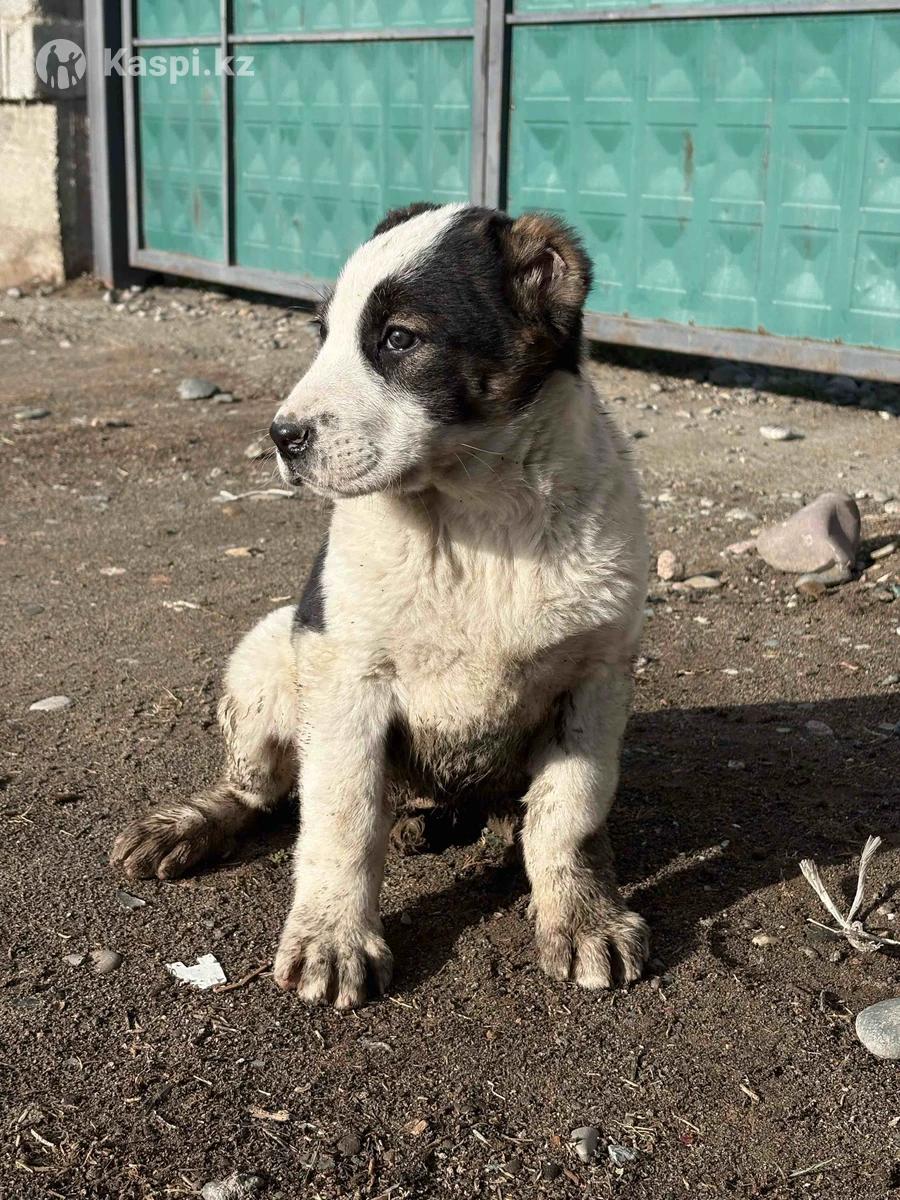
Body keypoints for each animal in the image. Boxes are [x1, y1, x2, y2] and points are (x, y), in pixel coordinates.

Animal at [111, 202, 650, 1009]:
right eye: (321, 332)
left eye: (398, 339)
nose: (281, 438)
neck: (475, 521)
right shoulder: (348, 680)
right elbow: (340, 819)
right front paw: (334, 935)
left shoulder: (594, 680)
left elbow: (569, 817)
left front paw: (584, 915)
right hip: (269, 649)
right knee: (259, 788)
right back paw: (192, 823)